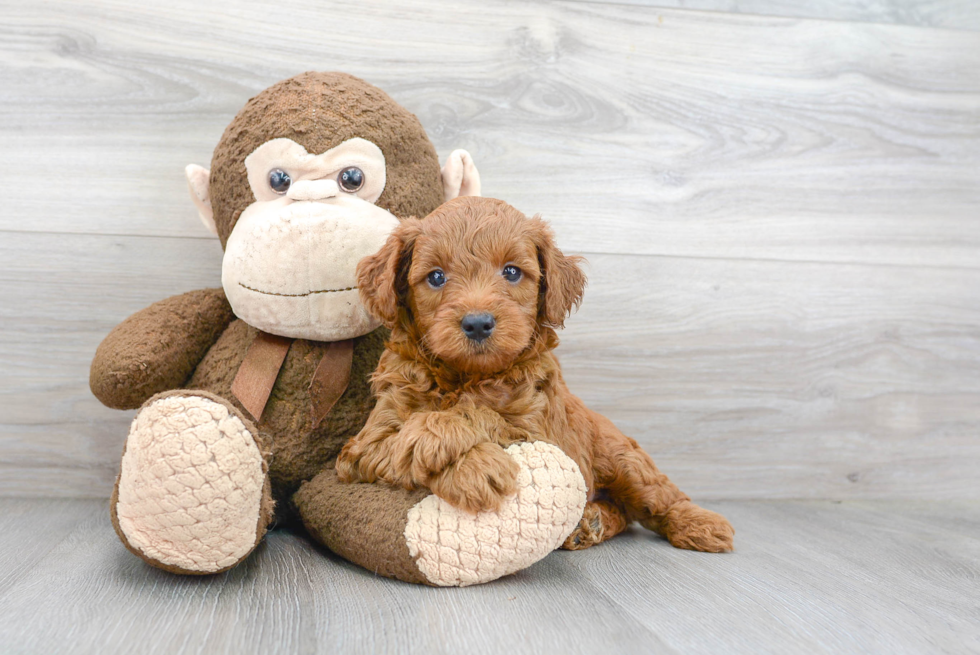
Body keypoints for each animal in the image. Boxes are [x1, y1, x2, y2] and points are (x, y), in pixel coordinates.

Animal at [338, 196, 736, 552]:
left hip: (622, 456)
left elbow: (483, 414)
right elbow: (399, 439)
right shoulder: (362, 448)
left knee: (657, 494)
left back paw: (701, 525)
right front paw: (476, 469)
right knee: (623, 513)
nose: (478, 323)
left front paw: (446, 437)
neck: (467, 376)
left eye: (512, 271)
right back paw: (591, 522)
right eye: (436, 277)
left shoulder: (540, 433)